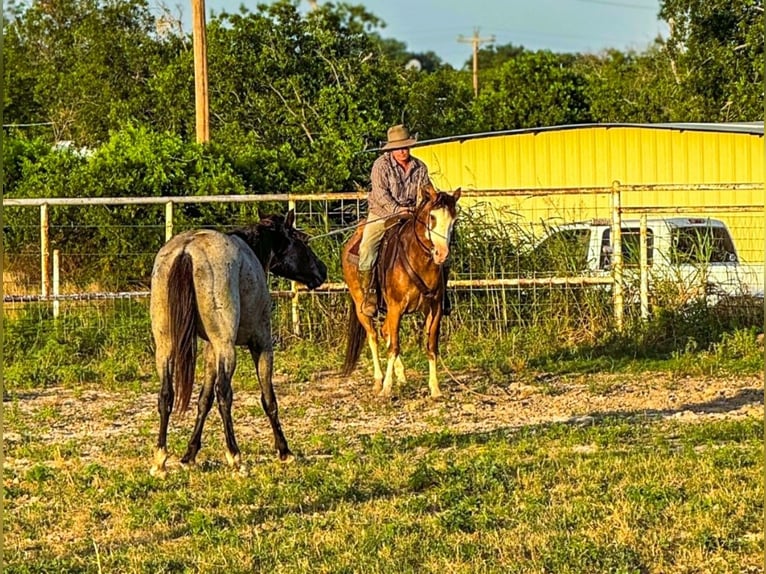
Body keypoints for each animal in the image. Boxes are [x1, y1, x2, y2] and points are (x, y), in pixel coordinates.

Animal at [149, 209, 328, 480]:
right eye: (303, 240)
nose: (323, 270)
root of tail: (187, 250)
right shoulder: (261, 343)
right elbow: (268, 399)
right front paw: (284, 451)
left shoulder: (210, 350)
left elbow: (203, 401)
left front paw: (189, 454)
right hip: (227, 348)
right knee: (224, 393)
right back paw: (235, 457)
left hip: (166, 346)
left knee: (166, 395)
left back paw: (160, 459)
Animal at [342, 187, 462, 398]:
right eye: (432, 217)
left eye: (453, 219)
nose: (442, 254)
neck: (417, 260)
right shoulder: (396, 307)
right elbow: (394, 347)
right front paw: (386, 388)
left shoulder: (435, 308)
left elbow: (431, 346)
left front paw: (435, 388)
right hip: (361, 306)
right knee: (373, 337)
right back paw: (379, 380)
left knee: (384, 332)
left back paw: (402, 376)